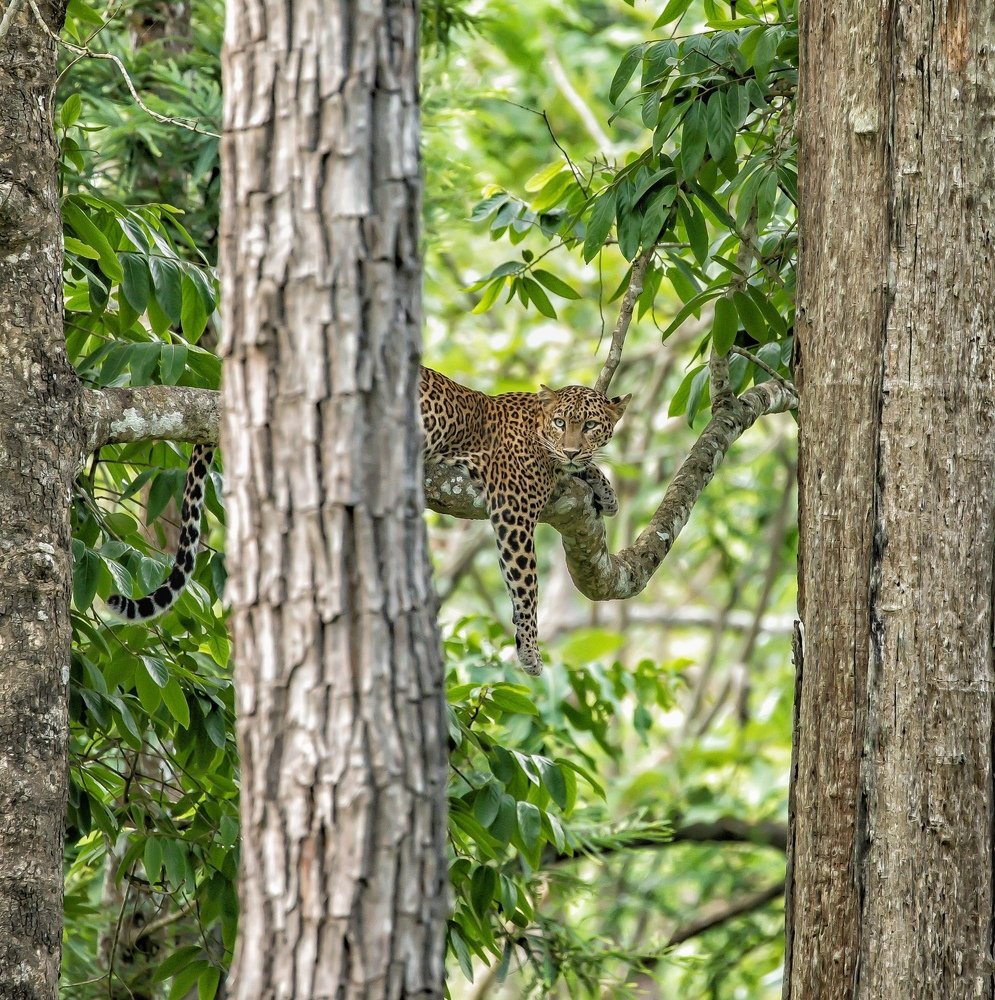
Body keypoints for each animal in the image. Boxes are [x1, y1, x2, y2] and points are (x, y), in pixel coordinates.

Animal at [421, 366, 630, 675]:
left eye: (590, 425)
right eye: (560, 422)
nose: (570, 451)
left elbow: (586, 464)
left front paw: (607, 494)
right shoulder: (514, 513)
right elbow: (527, 585)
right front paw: (530, 650)